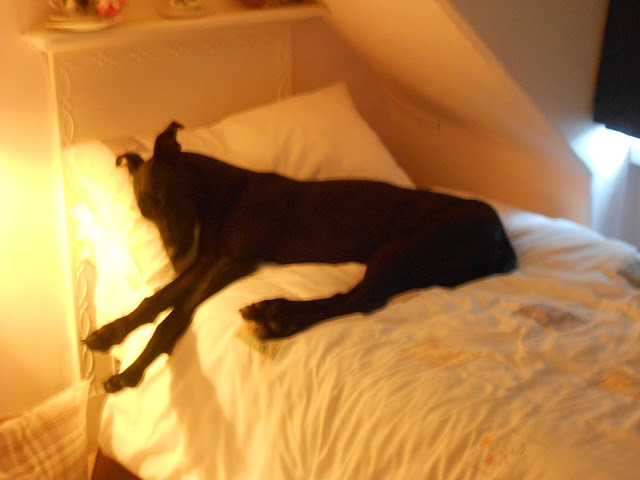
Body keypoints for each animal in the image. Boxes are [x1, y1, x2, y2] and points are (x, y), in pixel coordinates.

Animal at [85, 122, 516, 392]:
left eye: (166, 197)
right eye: (145, 213)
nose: (175, 255)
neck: (223, 194)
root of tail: (501, 235)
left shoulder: (232, 260)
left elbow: (174, 316)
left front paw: (131, 373)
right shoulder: (209, 260)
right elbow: (156, 300)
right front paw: (110, 332)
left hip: (404, 245)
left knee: (360, 298)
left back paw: (277, 316)